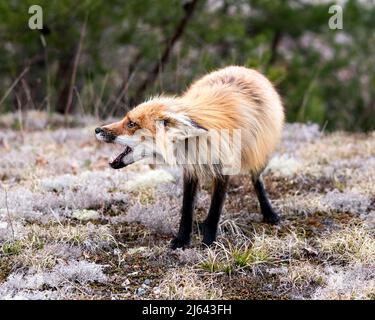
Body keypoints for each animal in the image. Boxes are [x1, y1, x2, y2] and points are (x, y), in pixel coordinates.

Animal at [96, 65, 284, 250]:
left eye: (131, 124)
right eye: (126, 119)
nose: (97, 129)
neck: (196, 145)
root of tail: (243, 68)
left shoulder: (224, 168)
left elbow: (215, 209)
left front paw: (209, 241)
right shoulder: (190, 168)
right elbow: (187, 209)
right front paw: (182, 239)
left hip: (259, 153)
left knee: (257, 179)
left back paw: (268, 212)